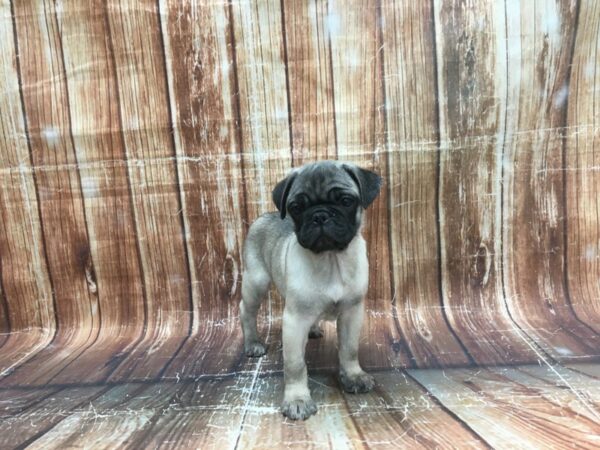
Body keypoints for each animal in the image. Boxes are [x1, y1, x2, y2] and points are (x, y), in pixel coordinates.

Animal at [238, 160, 380, 420]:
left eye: (346, 201)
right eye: (296, 207)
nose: (320, 215)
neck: (331, 259)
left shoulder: (352, 313)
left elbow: (349, 350)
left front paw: (353, 376)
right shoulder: (294, 321)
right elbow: (295, 365)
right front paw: (297, 399)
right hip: (256, 282)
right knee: (247, 310)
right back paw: (253, 342)